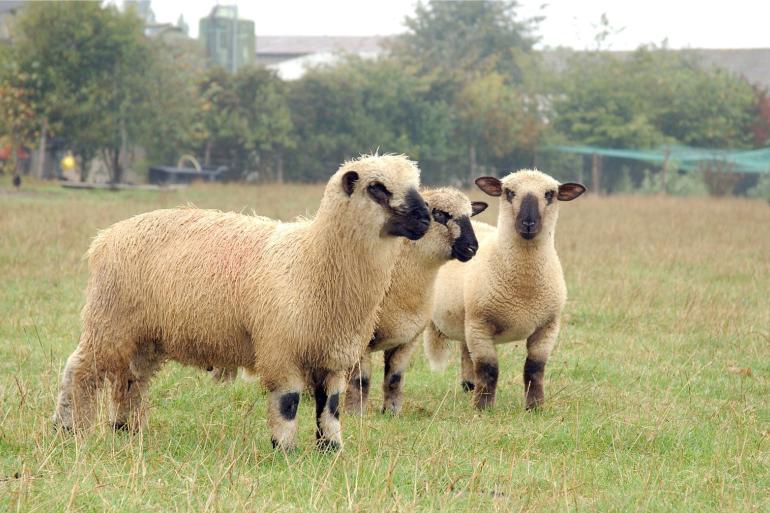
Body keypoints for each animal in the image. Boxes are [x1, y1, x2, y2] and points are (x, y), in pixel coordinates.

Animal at [50, 154, 428, 450]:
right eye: (377, 188)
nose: (425, 218)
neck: (312, 260)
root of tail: (105, 238)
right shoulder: (280, 351)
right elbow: (288, 403)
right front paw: (284, 449)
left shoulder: (334, 355)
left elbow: (331, 407)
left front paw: (331, 448)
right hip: (109, 321)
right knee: (79, 368)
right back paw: (68, 428)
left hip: (144, 336)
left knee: (131, 379)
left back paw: (126, 429)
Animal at [344, 188, 486, 416]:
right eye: (439, 214)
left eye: (470, 215)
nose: (472, 248)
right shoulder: (360, 338)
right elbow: (360, 380)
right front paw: (355, 413)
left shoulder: (408, 338)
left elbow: (394, 378)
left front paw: (392, 412)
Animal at [420, 170, 584, 410]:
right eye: (509, 192)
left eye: (549, 194)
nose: (528, 223)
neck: (524, 287)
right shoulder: (480, 325)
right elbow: (488, 369)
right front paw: (483, 407)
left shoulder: (548, 326)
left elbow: (535, 368)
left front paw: (535, 407)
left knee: (465, 353)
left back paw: (469, 386)